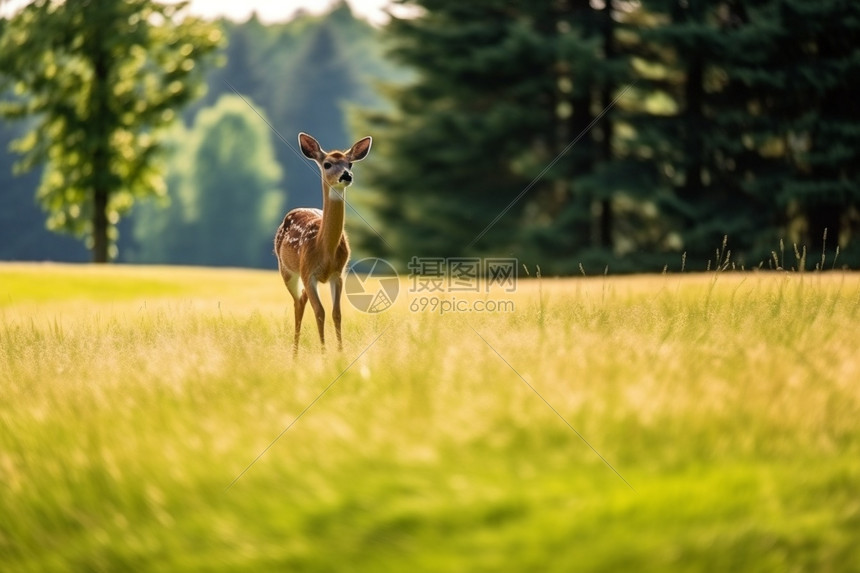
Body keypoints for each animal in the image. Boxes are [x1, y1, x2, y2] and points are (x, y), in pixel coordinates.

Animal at [274, 132, 372, 354]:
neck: (324, 249)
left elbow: (336, 313)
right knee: (297, 303)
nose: (346, 175)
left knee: (302, 299)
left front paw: (340, 352)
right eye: (327, 164)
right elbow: (320, 312)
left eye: (350, 164)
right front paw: (324, 354)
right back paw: (294, 353)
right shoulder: (307, 272)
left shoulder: (339, 273)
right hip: (286, 270)